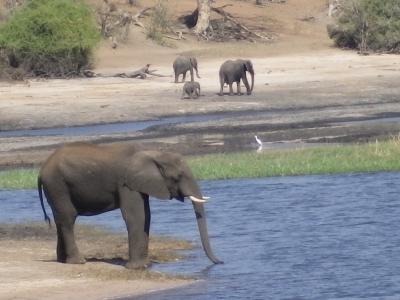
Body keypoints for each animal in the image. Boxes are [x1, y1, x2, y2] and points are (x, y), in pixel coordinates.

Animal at [37, 143, 222, 270]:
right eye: (178, 176)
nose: (221, 262)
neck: (152, 153)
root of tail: (41, 169)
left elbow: (146, 215)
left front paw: (145, 266)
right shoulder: (126, 183)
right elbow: (136, 215)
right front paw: (136, 268)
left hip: (55, 187)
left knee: (60, 219)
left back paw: (62, 261)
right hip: (57, 185)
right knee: (68, 218)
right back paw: (78, 262)